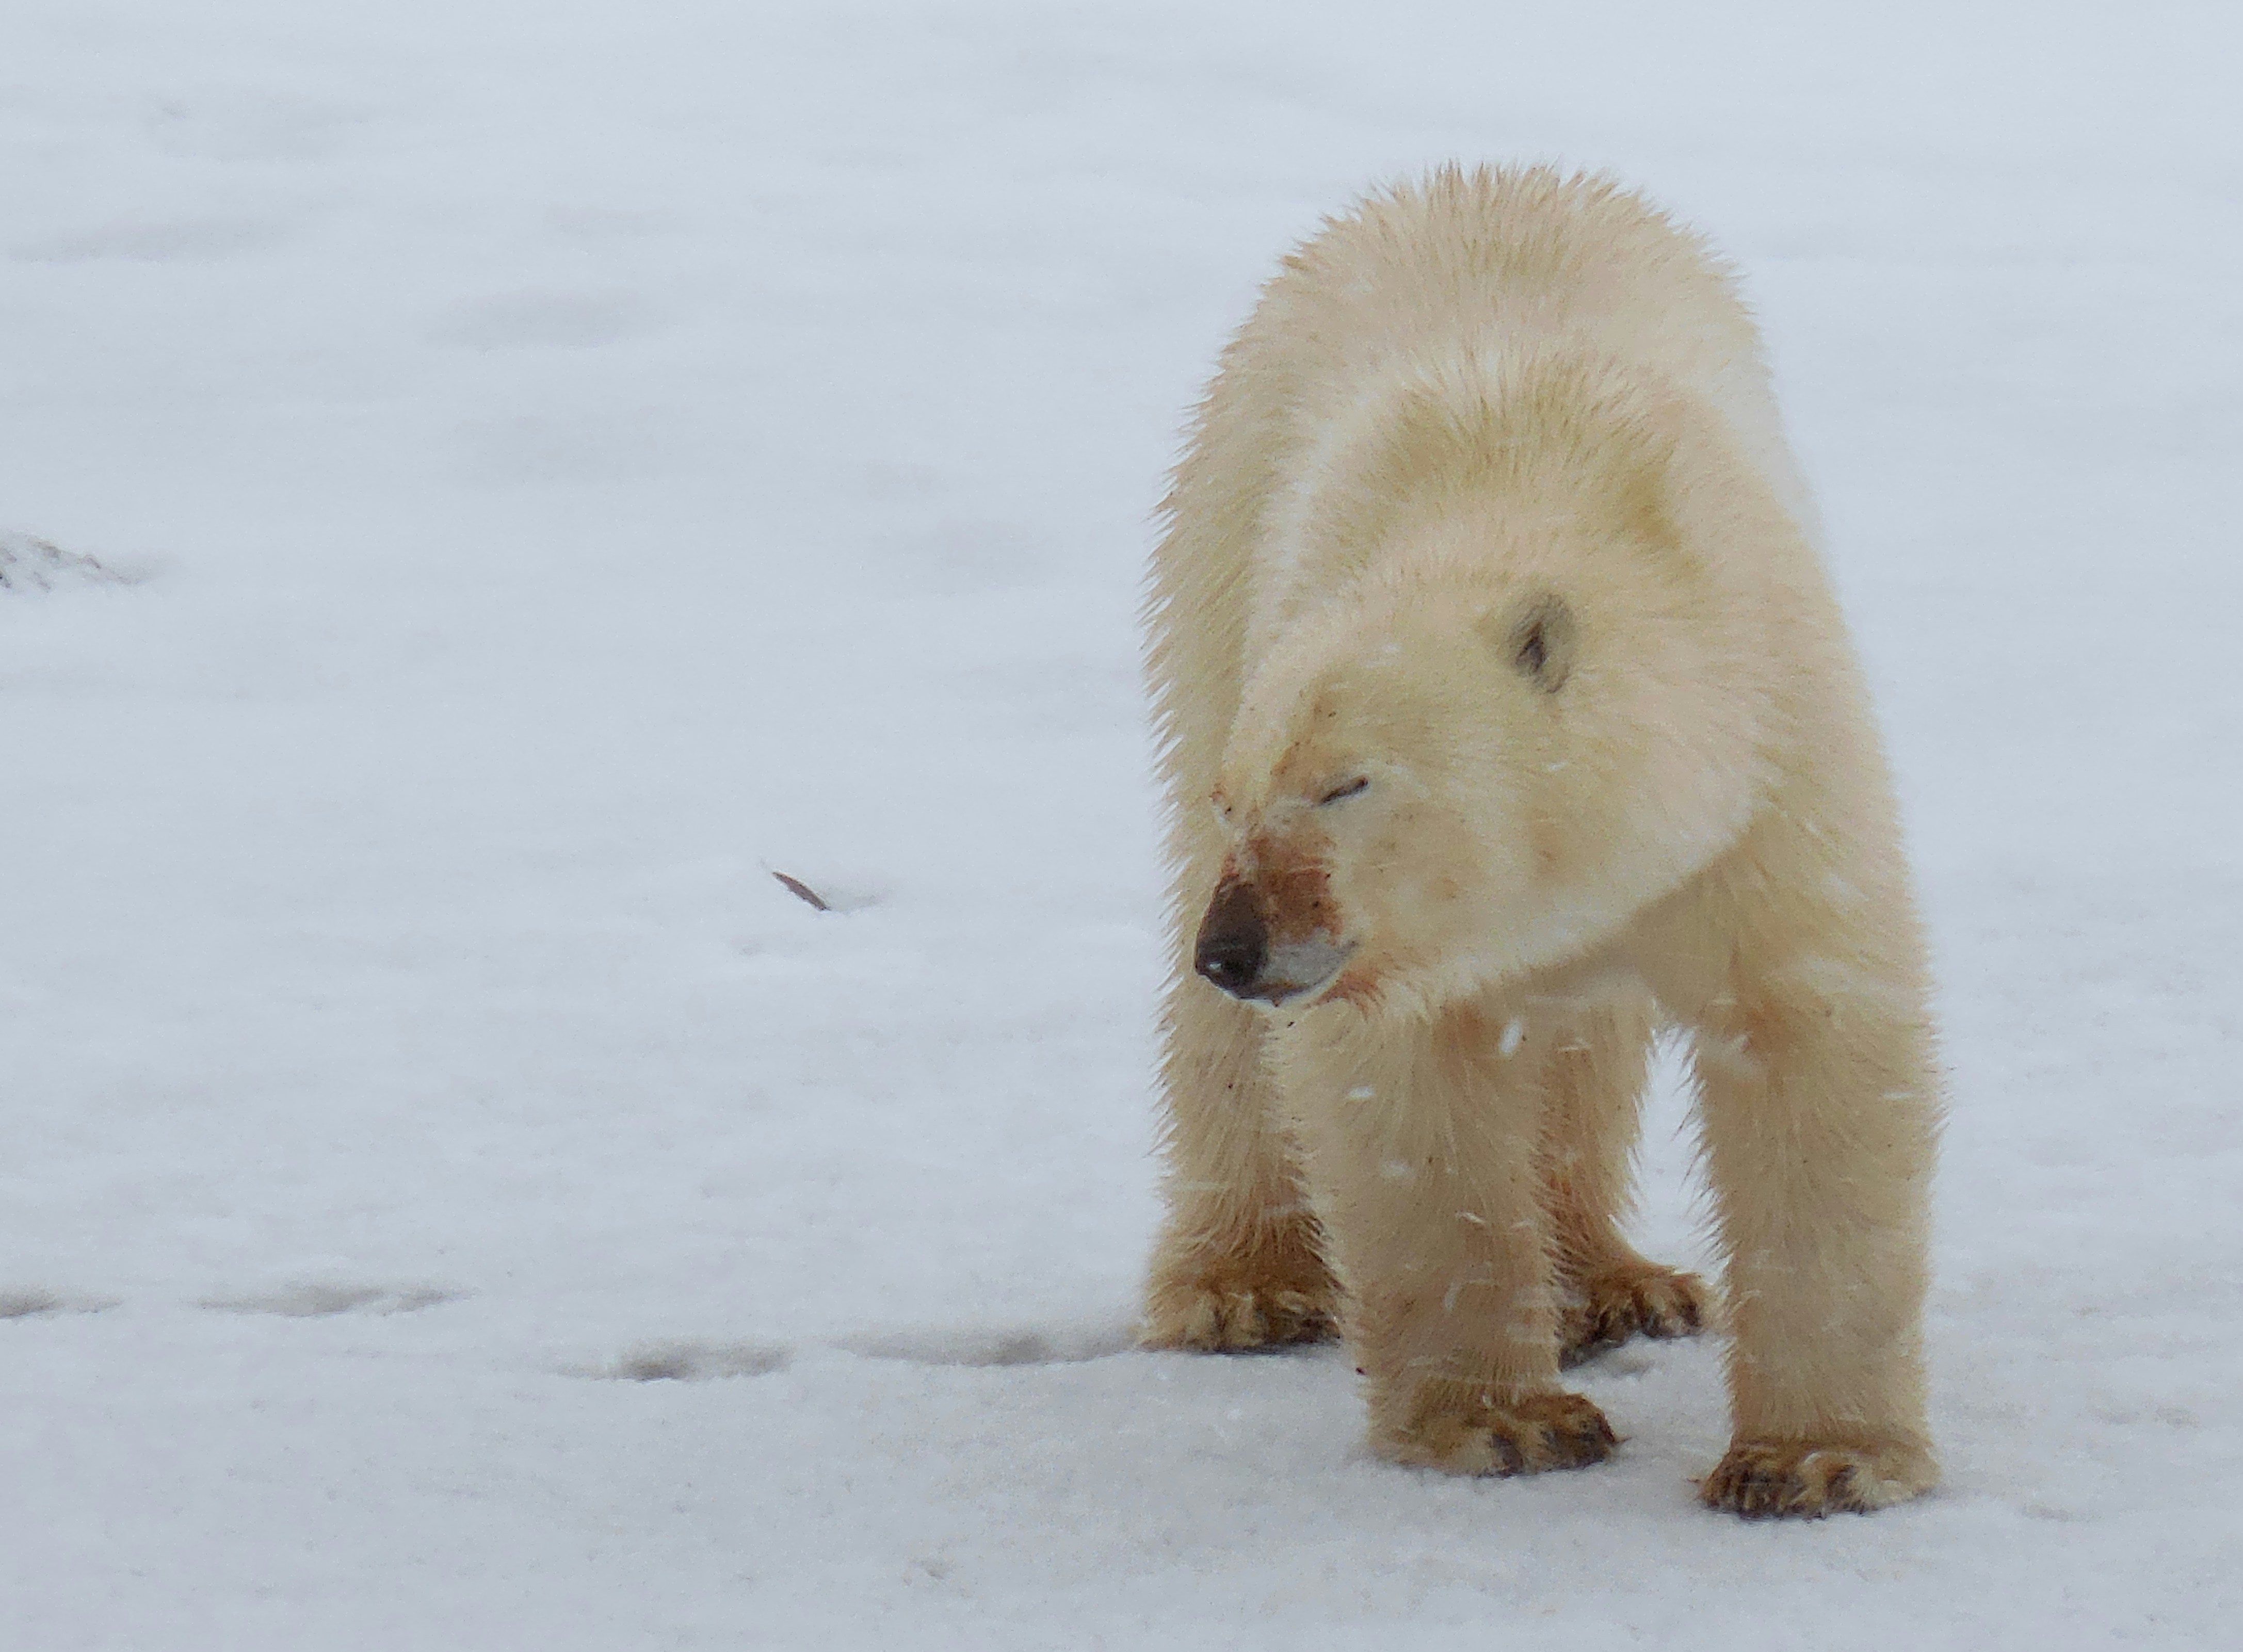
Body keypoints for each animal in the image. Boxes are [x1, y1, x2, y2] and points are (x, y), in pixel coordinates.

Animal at [1139, 165, 1941, 1519]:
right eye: (1239, 798)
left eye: (1349, 783)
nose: (1236, 948)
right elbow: (1410, 1101)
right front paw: (1505, 1421)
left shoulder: (1763, 766)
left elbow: (1810, 1039)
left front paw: (1817, 1459)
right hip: (1215, 536)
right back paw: (1243, 1284)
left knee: (1584, 1037)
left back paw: (1615, 1280)